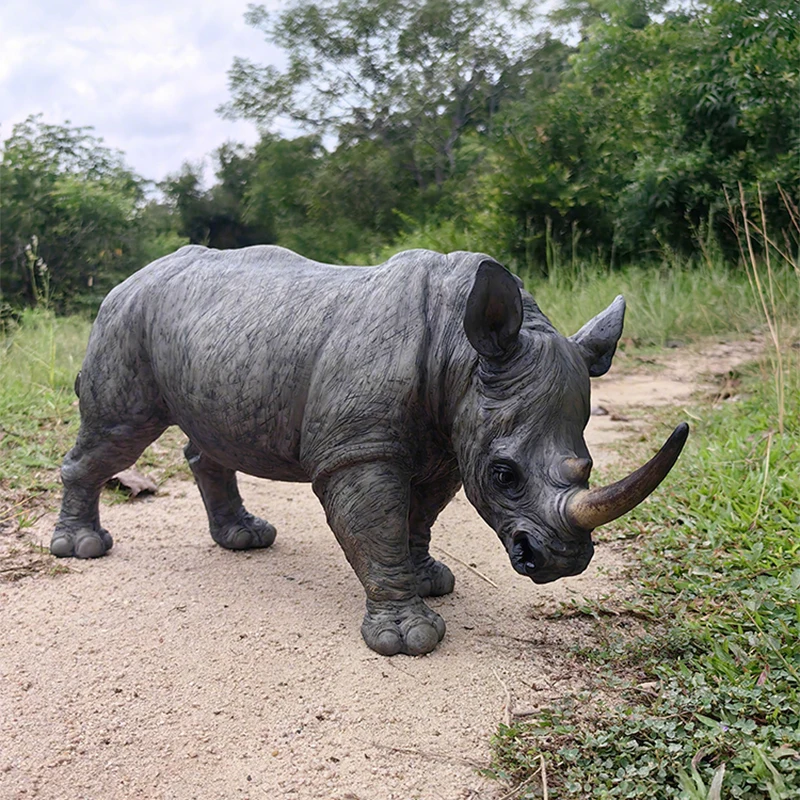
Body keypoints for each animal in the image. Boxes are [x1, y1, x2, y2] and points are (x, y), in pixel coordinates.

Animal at [52, 245, 687, 655]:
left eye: (588, 466)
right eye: (504, 474)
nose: (560, 562)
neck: (463, 354)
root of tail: (127, 279)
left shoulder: (450, 440)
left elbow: (418, 515)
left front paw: (429, 579)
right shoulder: (360, 449)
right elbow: (376, 524)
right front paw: (409, 639)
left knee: (208, 439)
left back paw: (245, 539)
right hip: (126, 321)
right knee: (119, 430)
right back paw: (81, 549)